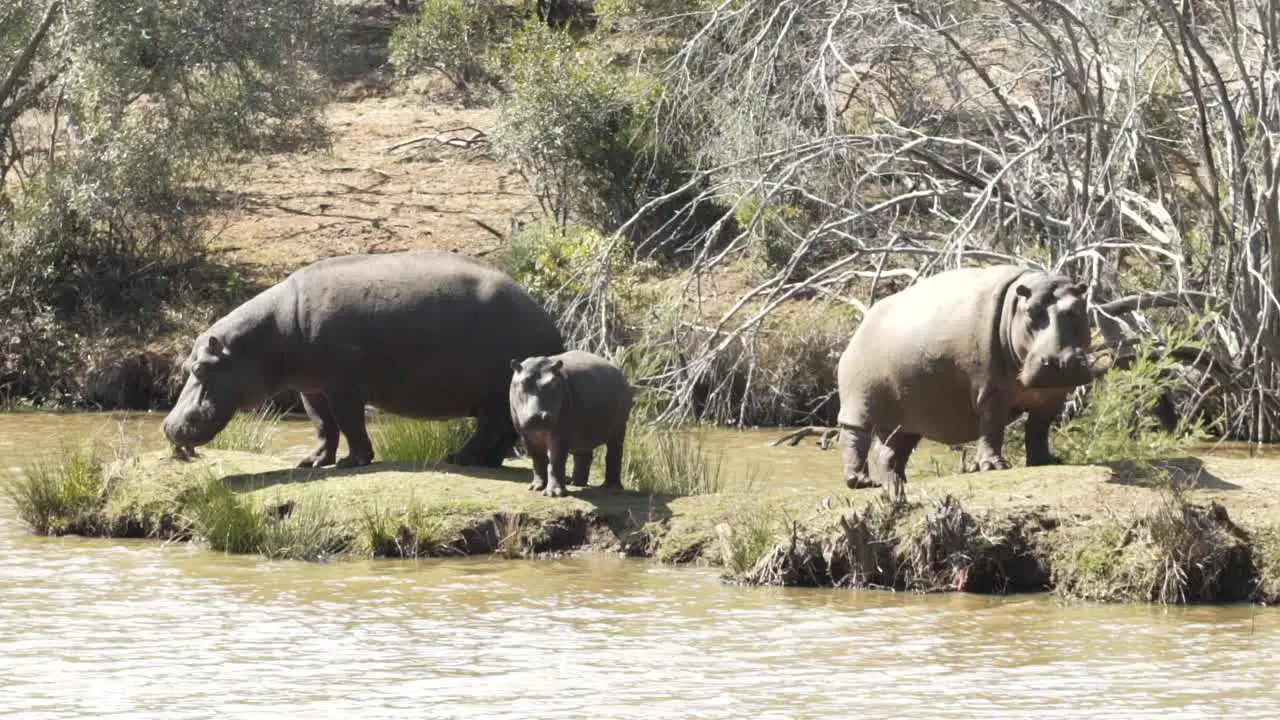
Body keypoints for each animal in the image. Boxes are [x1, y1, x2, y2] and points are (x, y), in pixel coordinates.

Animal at [162, 249, 563, 468]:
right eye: (185, 366)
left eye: (201, 368)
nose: (168, 426)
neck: (267, 336)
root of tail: (549, 320)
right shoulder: (311, 389)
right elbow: (323, 425)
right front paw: (312, 462)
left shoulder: (343, 388)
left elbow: (350, 423)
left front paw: (351, 462)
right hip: (495, 398)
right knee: (502, 431)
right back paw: (477, 460)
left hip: (494, 393)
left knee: (492, 429)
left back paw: (458, 458)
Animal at [504, 348, 634, 497]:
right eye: (523, 383)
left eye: (553, 382)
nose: (540, 415)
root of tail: (620, 373)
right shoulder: (526, 435)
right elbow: (537, 459)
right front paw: (536, 487)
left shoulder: (561, 434)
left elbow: (556, 460)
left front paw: (554, 494)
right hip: (585, 433)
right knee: (584, 455)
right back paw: (575, 483)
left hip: (619, 428)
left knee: (614, 454)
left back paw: (611, 487)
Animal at [834, 263, 1095, 499]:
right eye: (1031, 311)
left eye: (1077, 309)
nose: (1058, 361)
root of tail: (861, 325)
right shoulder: (991, 389)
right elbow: (992, 427)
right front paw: (992, 466)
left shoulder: (1053, 395)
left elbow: (1039, 429)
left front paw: (1046, 461)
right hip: (859, 400)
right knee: (854, 435)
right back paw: (859, 481)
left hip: (905, 417)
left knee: (889, 447)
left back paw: (898, 479)